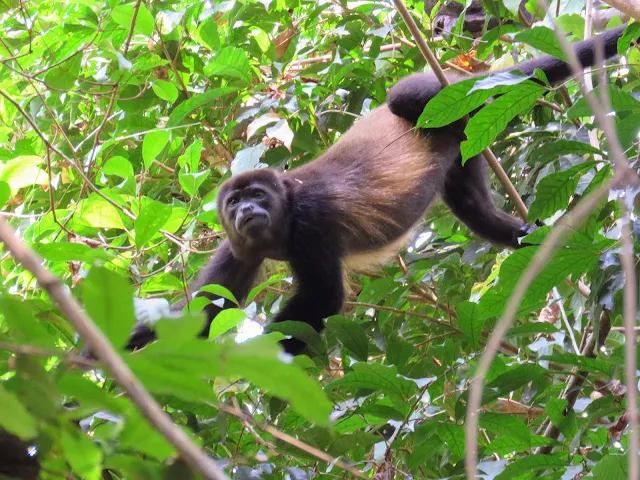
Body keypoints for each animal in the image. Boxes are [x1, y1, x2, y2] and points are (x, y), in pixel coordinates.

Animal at [129, 26, 632, 356]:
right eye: (234, 201)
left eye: (258, 194)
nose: (247, 209)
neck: (283, 217)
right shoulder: (236, 245)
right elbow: (205, 308)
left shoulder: (311, 222)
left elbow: (324, 298)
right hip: (465, 149)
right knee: (476, 211)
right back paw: (531, 236)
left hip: (448, 89)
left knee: (406, 98)